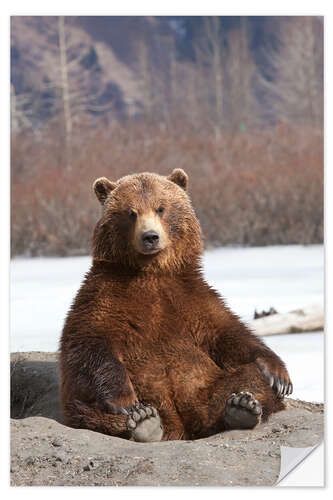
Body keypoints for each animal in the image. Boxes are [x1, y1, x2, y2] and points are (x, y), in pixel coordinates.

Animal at [59, 169, 290, 442]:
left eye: (161, 208)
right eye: (131, 212)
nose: (150, 237)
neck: (151, 272)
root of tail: (181, 427)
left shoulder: (192, 300)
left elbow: (230, 334)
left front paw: (278, 374)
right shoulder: (103, 296)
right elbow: (89, 342)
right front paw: (125, 401)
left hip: (205, 386)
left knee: (247, 379)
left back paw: (241, 407)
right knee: (87, 410)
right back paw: (144, 422)